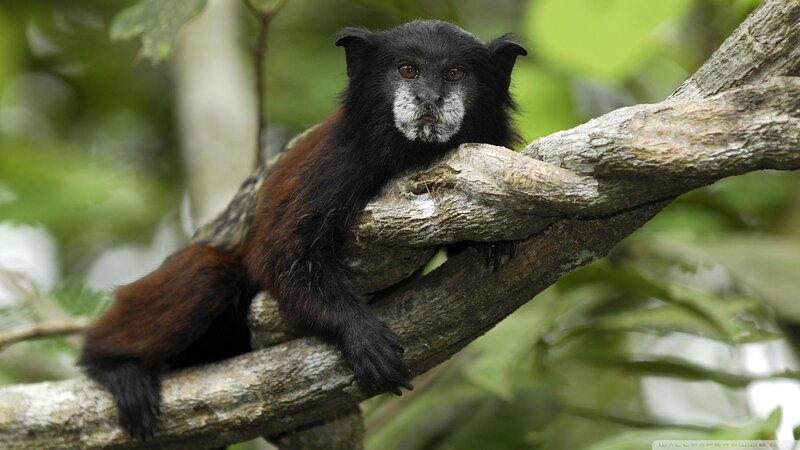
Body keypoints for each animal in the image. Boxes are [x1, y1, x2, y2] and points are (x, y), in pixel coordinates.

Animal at [79, 19, 526, 441]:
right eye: (408, 70)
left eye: (454, 74)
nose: (429, 99)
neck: (411, 153)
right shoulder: (333, 164)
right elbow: (279, 254)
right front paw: (360, 336)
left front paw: (490, 244)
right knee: (209, 273)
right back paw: (113, 364)